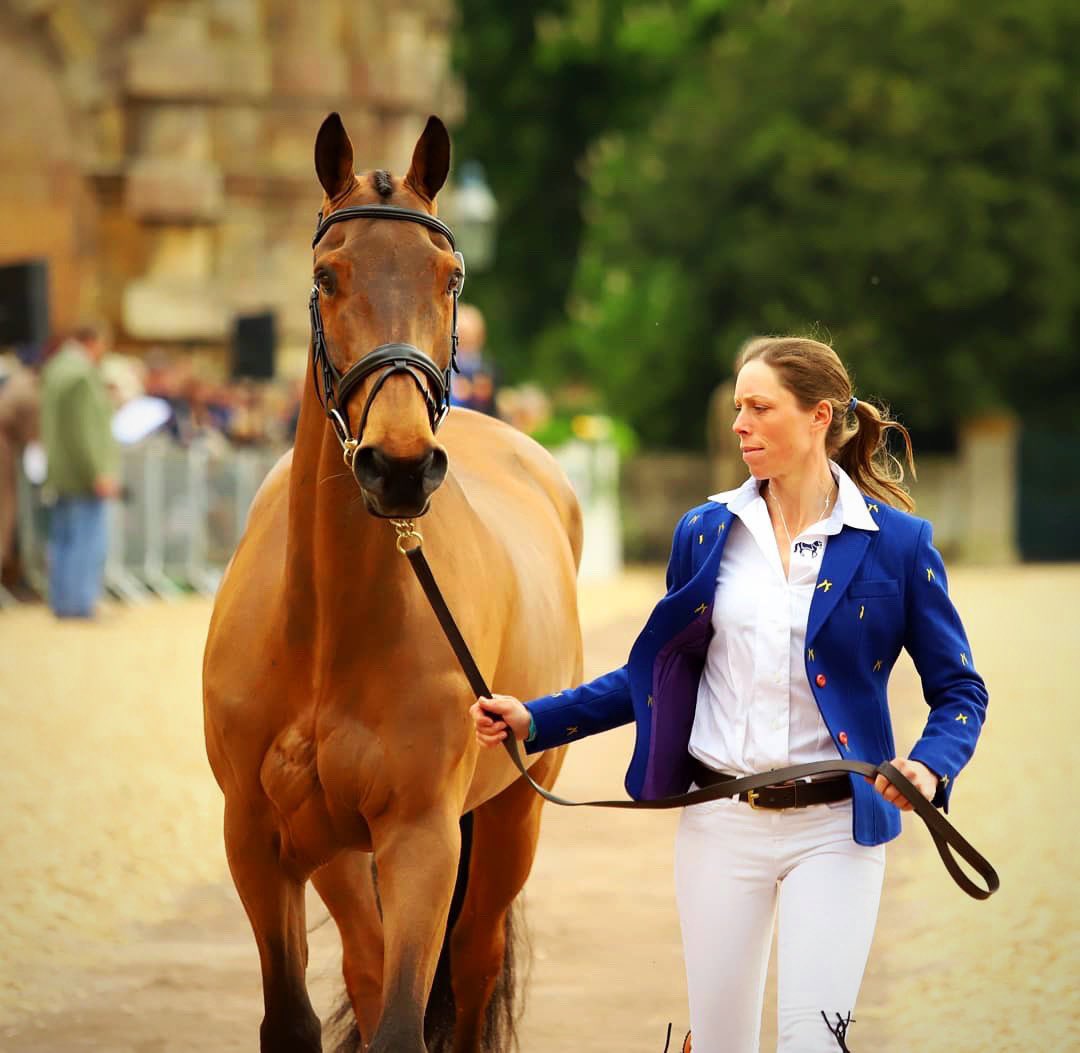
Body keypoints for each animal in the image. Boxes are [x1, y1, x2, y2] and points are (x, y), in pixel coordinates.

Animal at [203, 112, 583, 1053]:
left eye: (450, 277)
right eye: (325, 276)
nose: (402, 465)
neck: (323, 633)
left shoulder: (422, 838)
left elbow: (410, 1020)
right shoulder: (258, 840)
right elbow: (299, 1016)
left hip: (509, 824)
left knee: (473, 967)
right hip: (339, 851)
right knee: (367, 969)